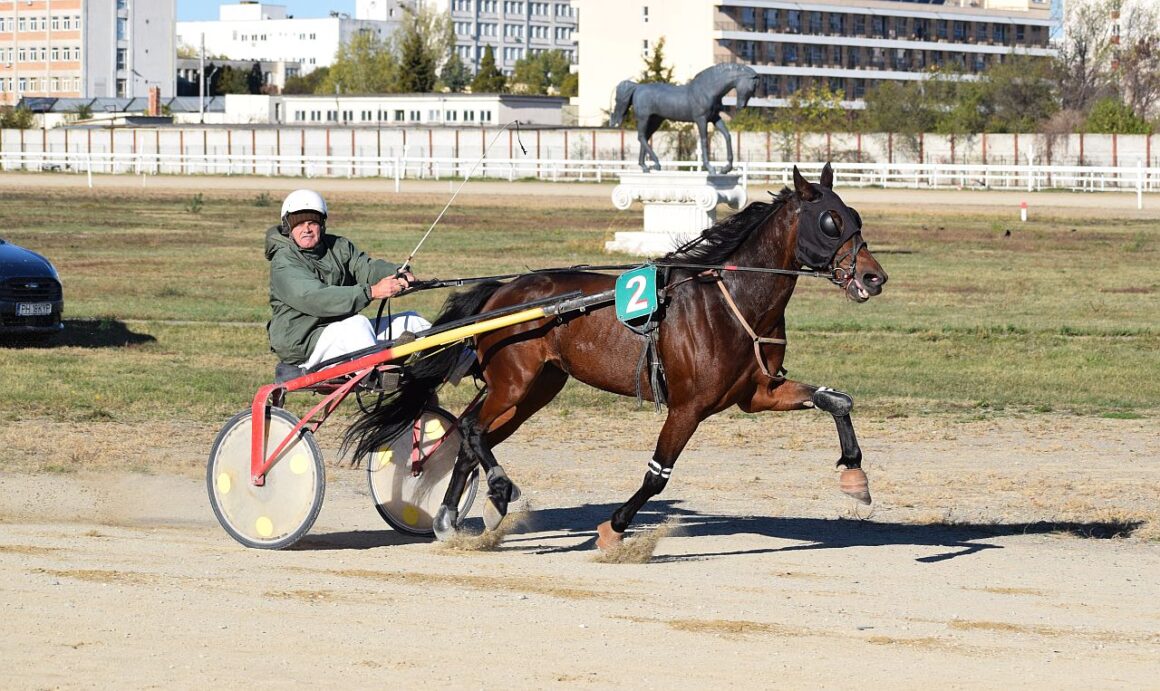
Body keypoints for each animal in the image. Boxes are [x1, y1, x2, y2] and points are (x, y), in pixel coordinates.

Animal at [343, 164, 886, 547]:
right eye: (831, 221)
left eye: (858, 218)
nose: (874, 277)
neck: (731, 298)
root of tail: (503, 290)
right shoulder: (688, 407)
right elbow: (657, 475)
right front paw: (614, 528)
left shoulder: (758, 393)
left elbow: (835, 400)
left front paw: (855, 475)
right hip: (514, 383)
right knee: (473, 429)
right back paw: (500, 490)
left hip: (533, 389)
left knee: (471, 433)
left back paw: (451, 516)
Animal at [607, 62, 760, 175]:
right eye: (752, 86)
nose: (741, 106)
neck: (708, 90)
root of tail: (638, 87)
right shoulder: (701, 120)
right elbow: (704, 141)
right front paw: (710, 168)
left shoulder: (714, 118)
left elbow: (727, 136)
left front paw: (725, 169)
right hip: (644, 118)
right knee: (641, 137)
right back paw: (656, 163)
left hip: (656, 120)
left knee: (644, 137)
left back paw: (645, 167)